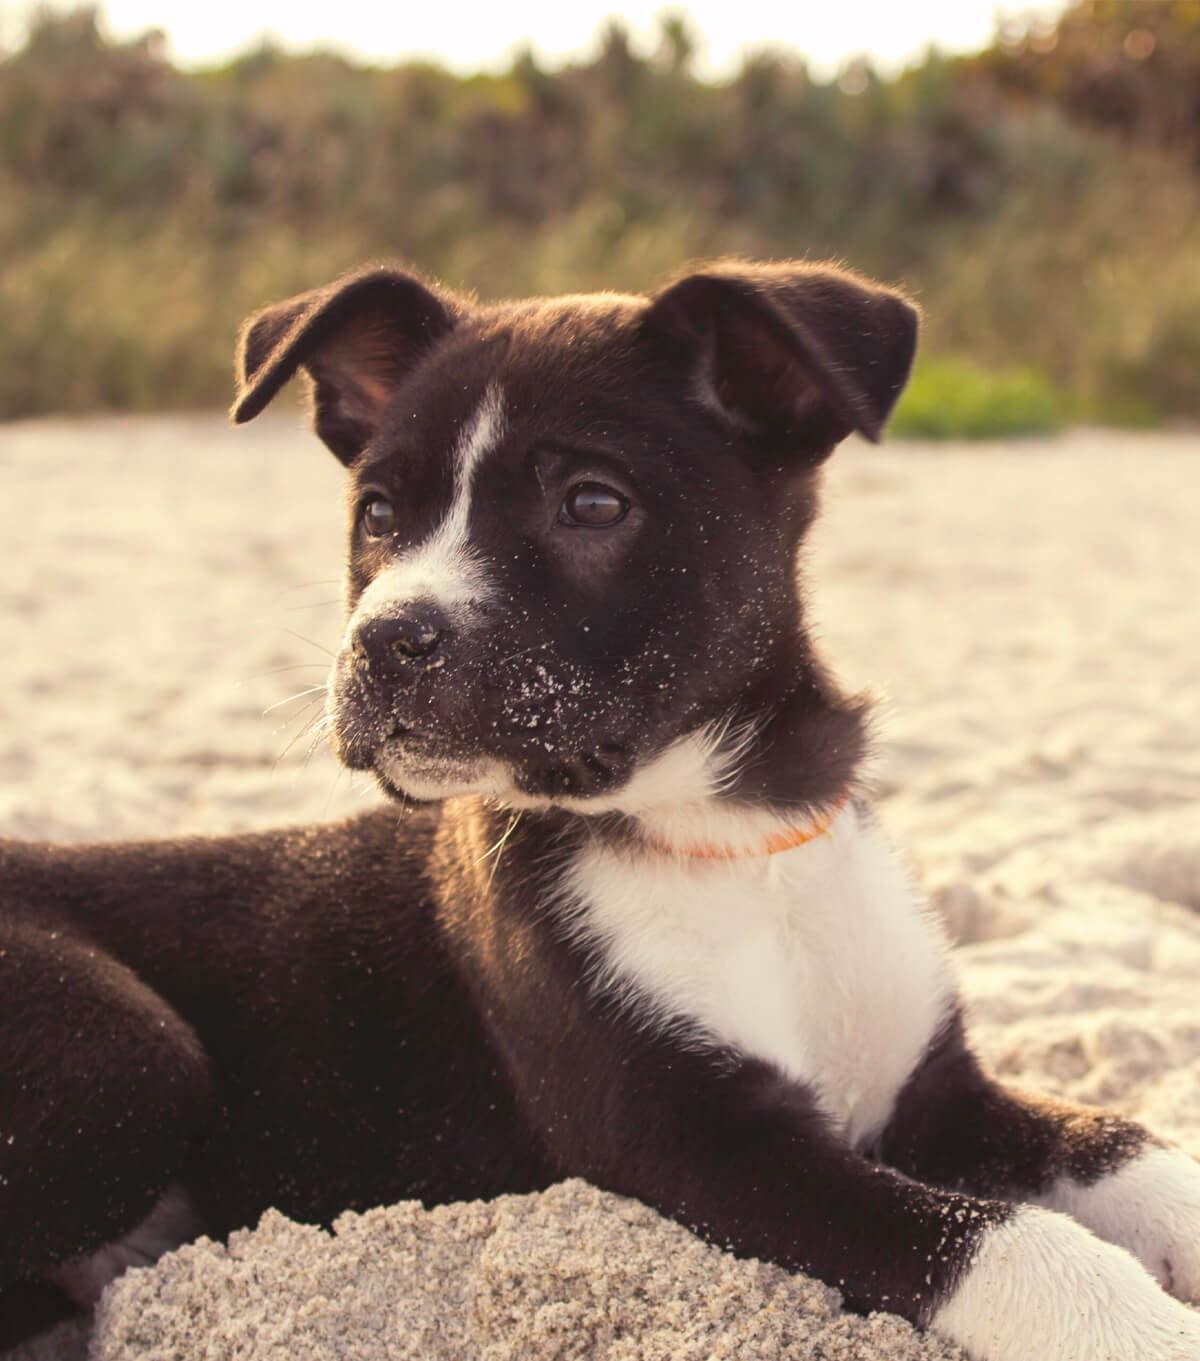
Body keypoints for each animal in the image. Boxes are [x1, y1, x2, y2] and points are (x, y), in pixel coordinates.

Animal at [2, 259, 1197, 1355]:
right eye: (377, 514)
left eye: (592, 503)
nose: (383, 641)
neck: (734, 836)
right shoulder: (702, 1141)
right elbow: (996, 1236)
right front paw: (1137, 1325)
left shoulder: (933, 1089)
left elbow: (1121, 1141)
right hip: (134, 1050)